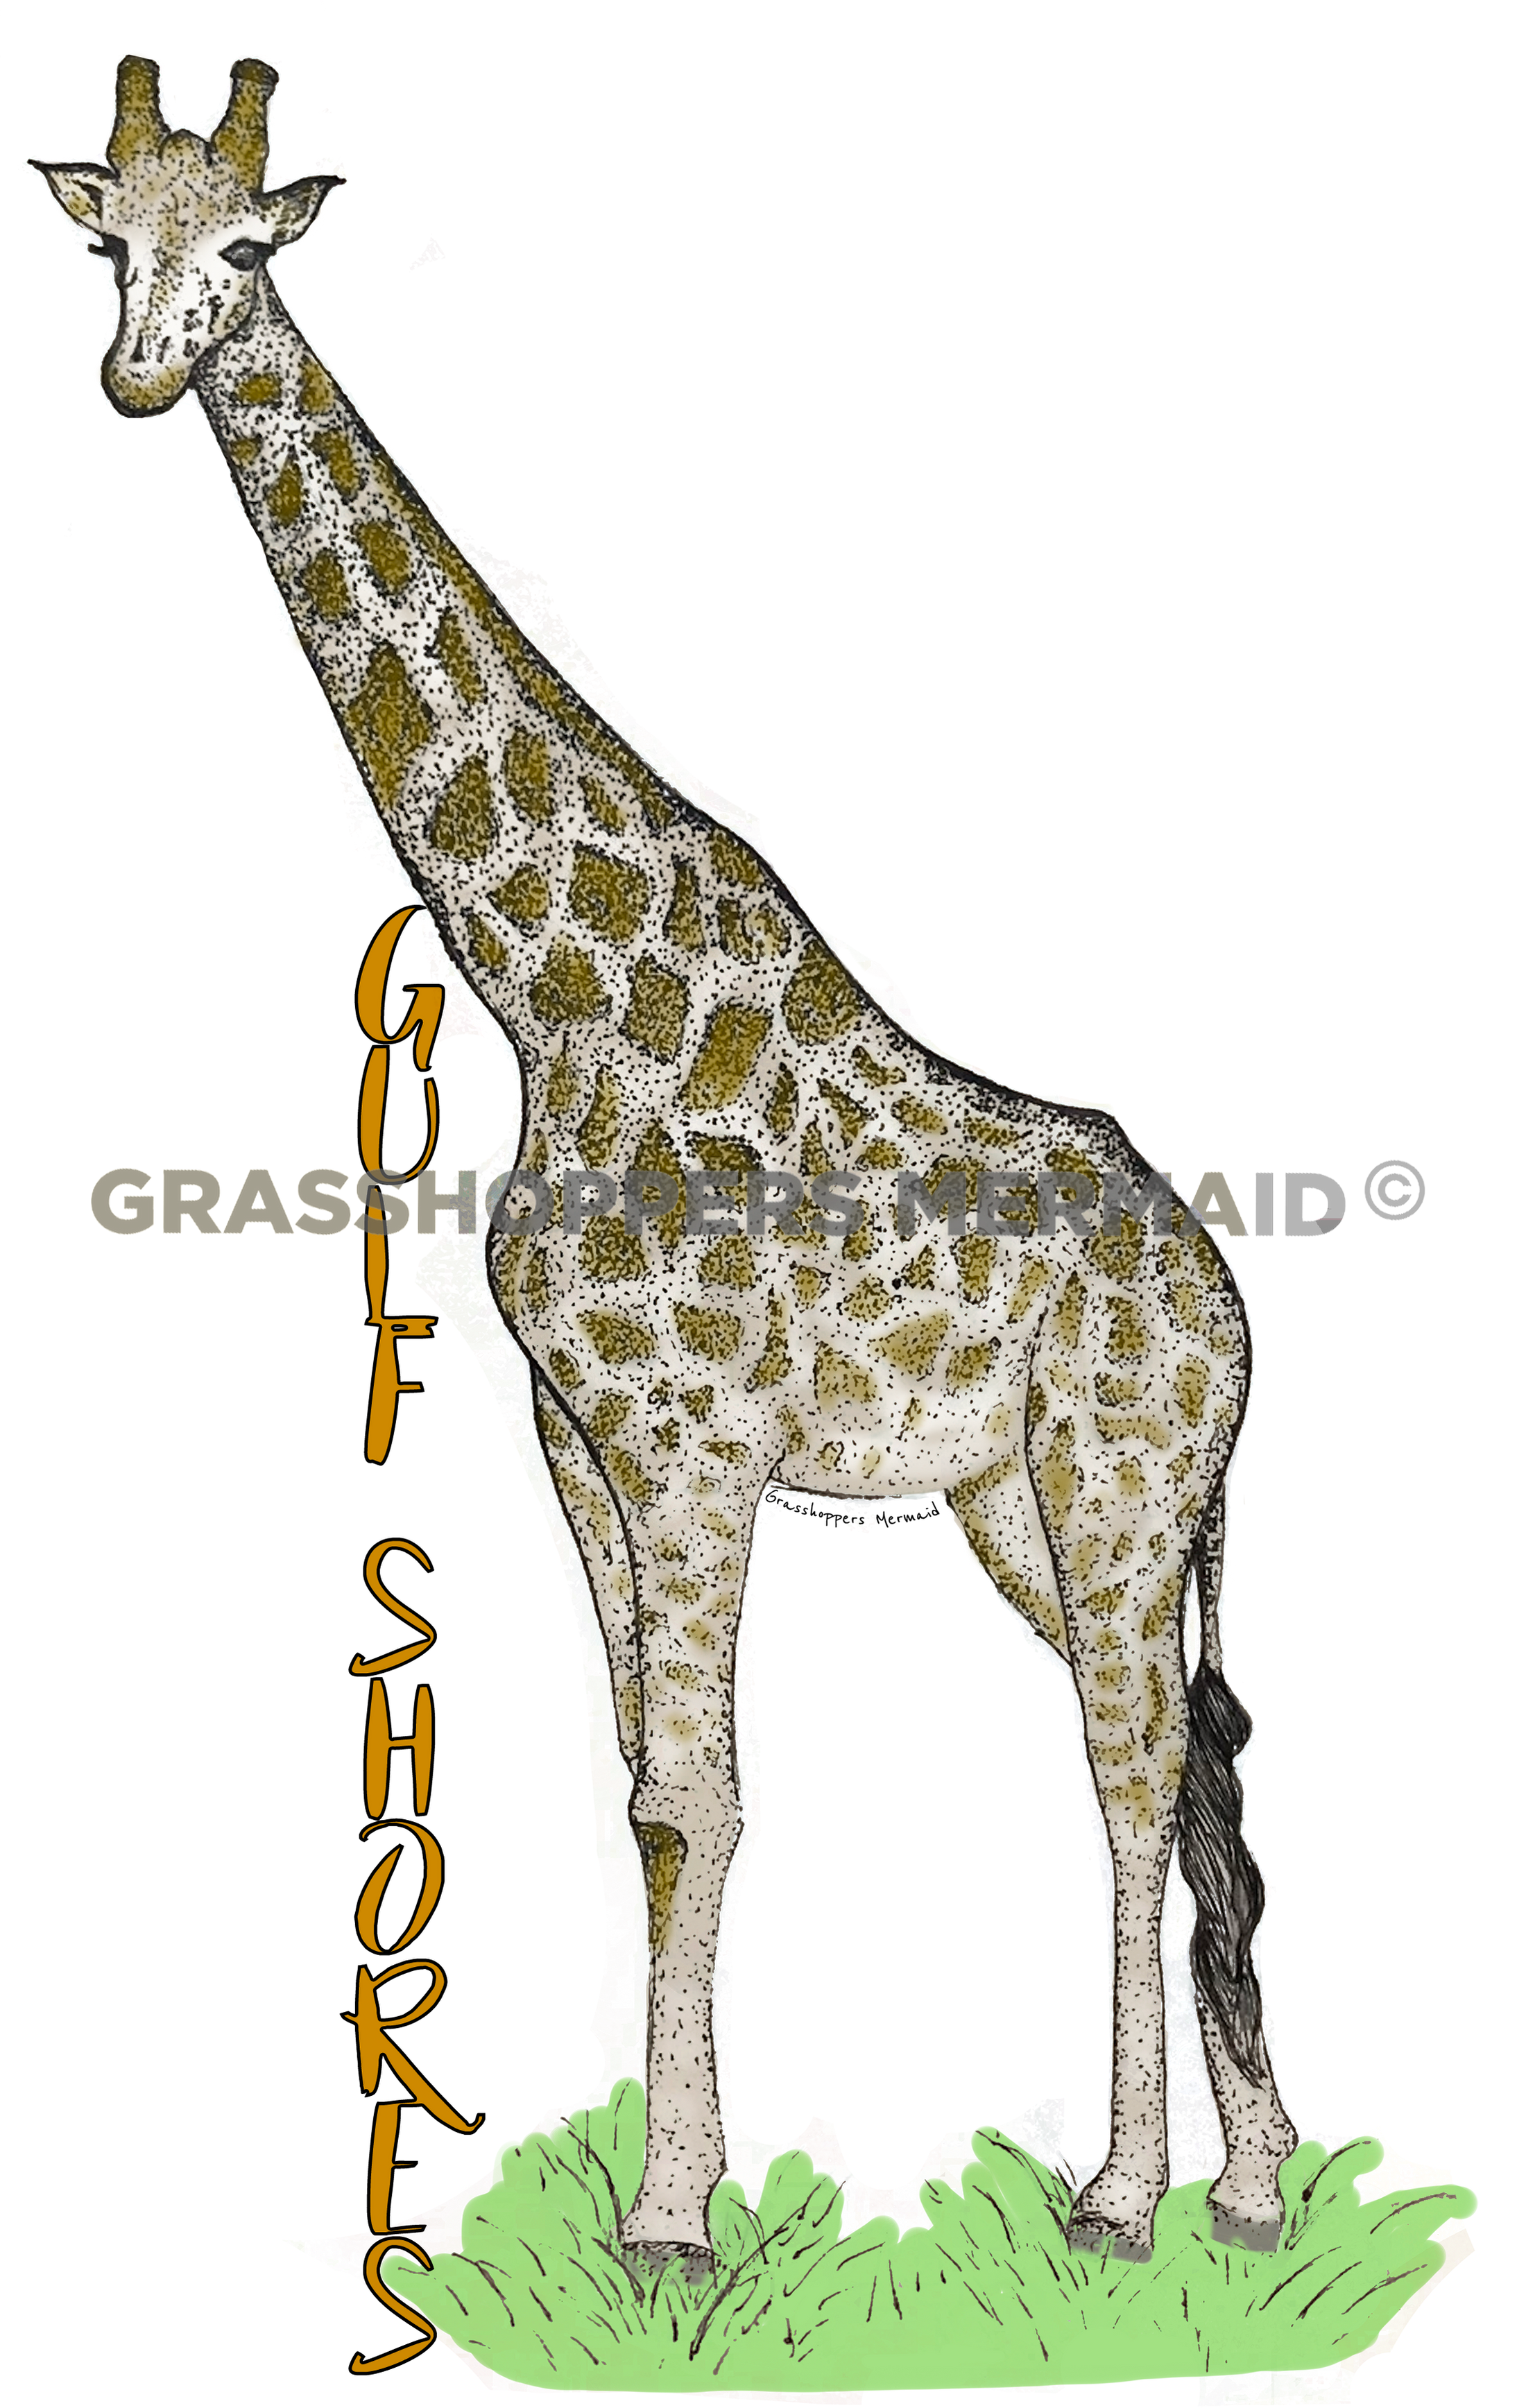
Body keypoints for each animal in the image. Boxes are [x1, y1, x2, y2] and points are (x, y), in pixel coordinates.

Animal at [28, 50, 1298, 2271]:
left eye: (251, 249)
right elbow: (649, 1802)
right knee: (1176, 1766)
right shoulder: (589, 1446)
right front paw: (651, 2183)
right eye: (110, 242)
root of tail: (1216, 1290)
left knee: (1140, 1784)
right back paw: (1245, 2191)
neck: (553, 1000)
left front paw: (677, 2226)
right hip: (1022, 1508)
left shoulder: (704, 1451)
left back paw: (1134, 2204)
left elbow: (711, 1799)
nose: (139, 377)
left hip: (1124, 1489)